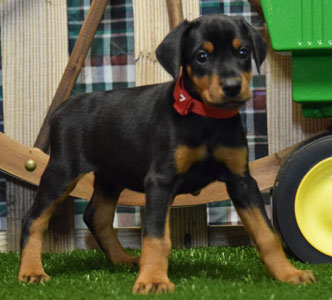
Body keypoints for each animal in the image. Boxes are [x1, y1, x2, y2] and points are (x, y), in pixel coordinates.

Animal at [18, 14, 316, 292]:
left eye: (242, 52)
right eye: (201, 56)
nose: (232, 87)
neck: (206, 119)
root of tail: (62, 107)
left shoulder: (242, 180)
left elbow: (265, 233)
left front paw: (289, 273)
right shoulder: (161, 181)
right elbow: (156, 236)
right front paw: (153, 280)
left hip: (111, 175)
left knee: (96, 215)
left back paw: (122, 259)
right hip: (62, 171)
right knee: (34, 218)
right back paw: (31, 271)